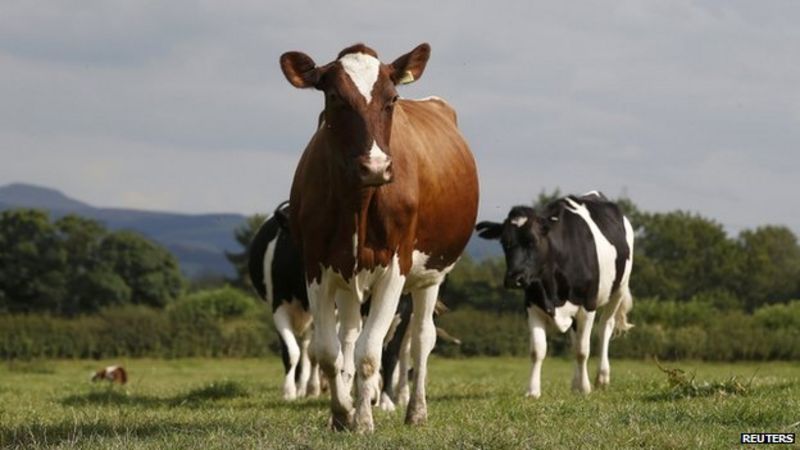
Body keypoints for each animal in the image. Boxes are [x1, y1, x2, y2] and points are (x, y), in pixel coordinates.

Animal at [282, 43, 478, 432]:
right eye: (334, 97)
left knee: (421, 339)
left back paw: (415, 410)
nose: (375, 167)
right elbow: (329, 352)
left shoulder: (395, 267)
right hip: (349, 278)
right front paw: (342, 412)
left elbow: (370, 353)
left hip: (431, 276)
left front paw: (362, 420)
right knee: (349, 336)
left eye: (392, 99)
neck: (358, 203)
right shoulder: (316, 266)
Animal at [478, 190, 636, 398]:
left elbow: (582, 350)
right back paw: (575, 383)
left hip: (619, 289)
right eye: (505, 243)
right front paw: (533, 391)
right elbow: (538, 350)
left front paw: (585, 388)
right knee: (575, 338)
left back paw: (601, 378)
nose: (514, 278)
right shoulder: (532, 306)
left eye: (533, 241)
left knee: (605, 328)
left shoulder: (587, 305)